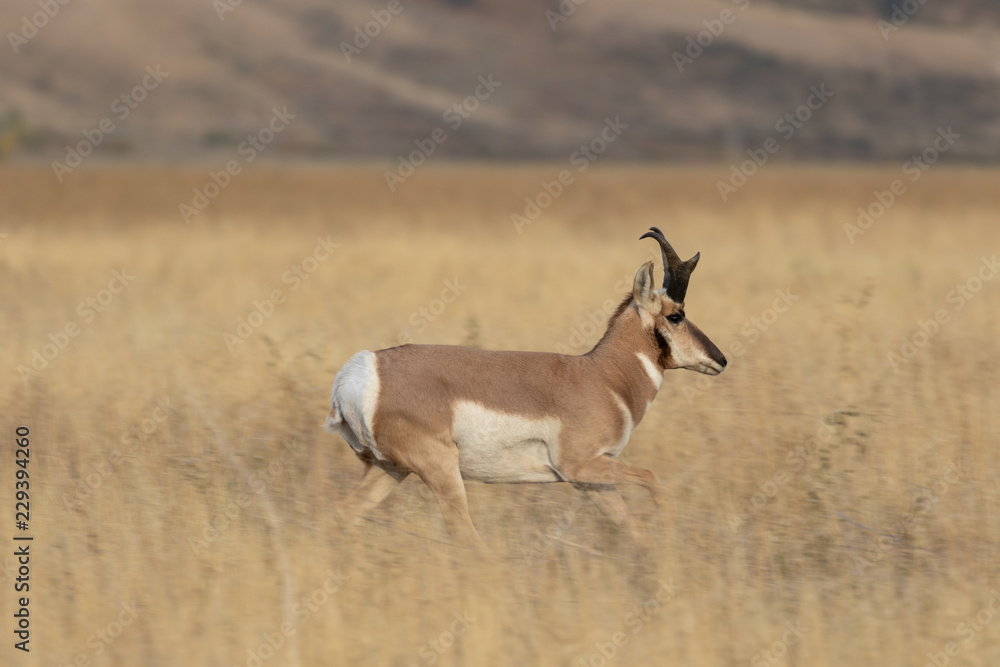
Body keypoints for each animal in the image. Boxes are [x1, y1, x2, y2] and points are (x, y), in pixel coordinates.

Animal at [325, 228, 726, 549]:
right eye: (676, 316)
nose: (721, 359)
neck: (602, 376)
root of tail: (358, 371)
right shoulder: (580, 467)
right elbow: (653, 479)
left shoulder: (593, 480)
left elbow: (632, 527)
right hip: (440, 471)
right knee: (464, 535)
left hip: (389, 469)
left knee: (343, 514)